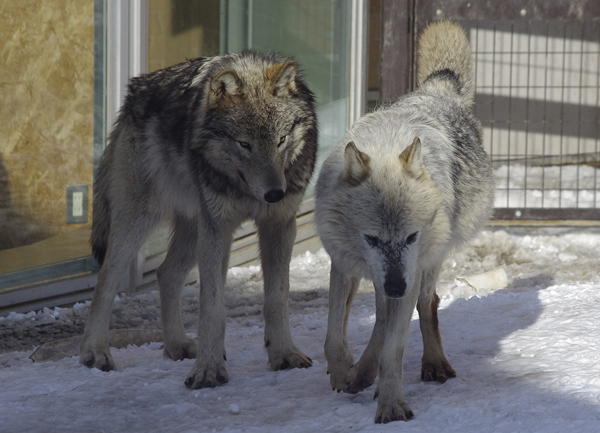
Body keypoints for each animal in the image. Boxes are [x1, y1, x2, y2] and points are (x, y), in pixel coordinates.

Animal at [79, 50, 318, 388]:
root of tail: (133, 95)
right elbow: (212, 307)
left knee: (166, 273)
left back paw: (176, 344)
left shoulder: (279, 225)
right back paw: (96, 352)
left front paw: (284, 354)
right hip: (141, 223)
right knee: (105, 282)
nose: (274, 194)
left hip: (194, 228)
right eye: (245, 144)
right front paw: (208, 370)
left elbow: (277, 298)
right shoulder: (218, 229)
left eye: (282, 139)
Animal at [314, 21, 492, 422]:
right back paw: (361, 373)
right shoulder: (344, 263)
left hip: (430, 261)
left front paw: (392, 403)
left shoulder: (410, 267)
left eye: (410, 237)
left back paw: (432, 364)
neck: (384, 146)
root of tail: (436, 90)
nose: (396, 285)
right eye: (371, 239)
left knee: (427, 303)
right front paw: (343, 372)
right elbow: (333, 337)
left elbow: (393, 348)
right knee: (383, 316)